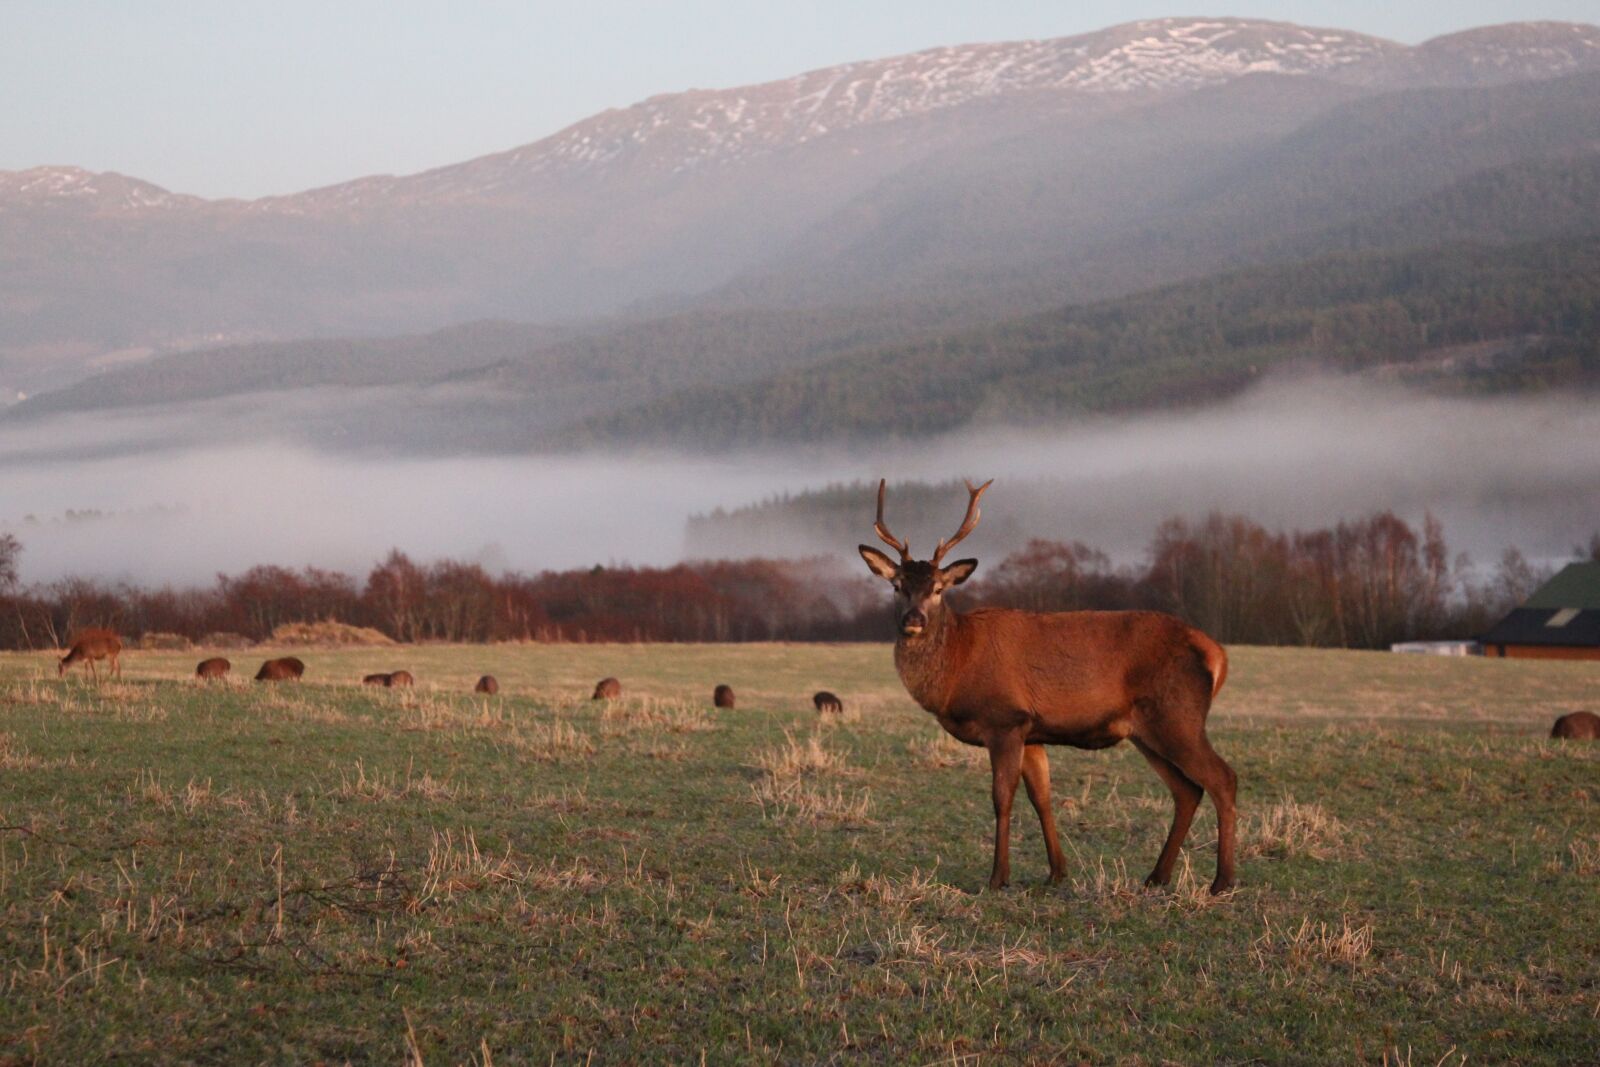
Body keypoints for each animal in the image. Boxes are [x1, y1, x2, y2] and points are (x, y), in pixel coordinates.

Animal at [859, 478, 1238, 894]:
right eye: (897, 585)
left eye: (939, 588)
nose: (914, 619)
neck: (958, 665)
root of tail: (1216, 654)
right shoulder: (1032, 732)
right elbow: (1041, 797)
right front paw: (1057, 871)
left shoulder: (1005, 719)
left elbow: (1002, 798)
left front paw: (998, 877)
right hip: (1147, 731)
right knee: (1187, 790)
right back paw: (1157, 876)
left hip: (1179, 716)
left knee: (1223, 779)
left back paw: (1222, 880)